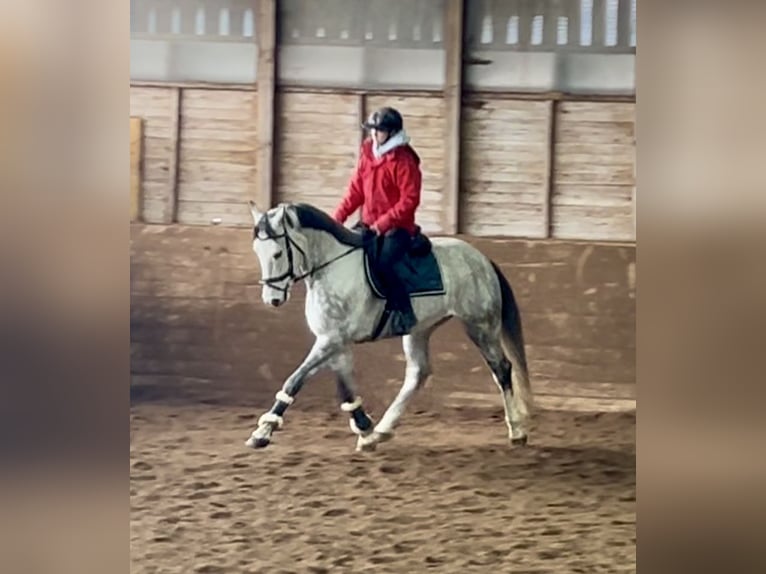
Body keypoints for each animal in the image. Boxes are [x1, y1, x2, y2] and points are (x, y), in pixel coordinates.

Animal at [246, 202, 536, 454]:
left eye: (277, 253)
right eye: (257, 252)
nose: (272, 300)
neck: (331, 268)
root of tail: (482, 259)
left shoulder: (330, 341)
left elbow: (295, 380)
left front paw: (262, 433)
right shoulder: (335, 342)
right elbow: (346, 389)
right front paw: (365, 431)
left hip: (480, 325)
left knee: (502, 368)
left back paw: (517, 431)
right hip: (419, 330)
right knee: (418, 373)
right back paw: (383, 430)